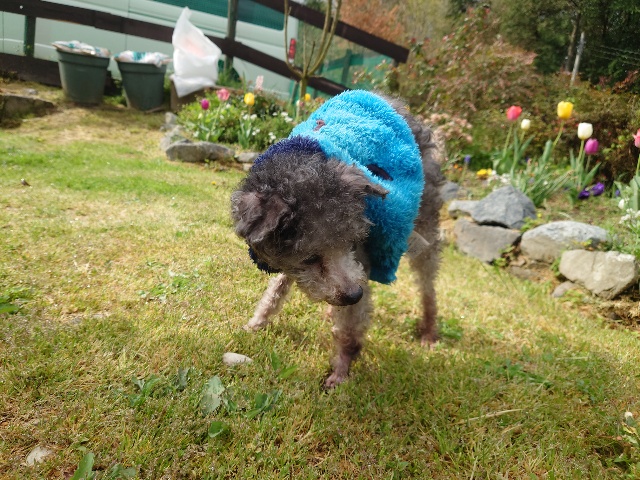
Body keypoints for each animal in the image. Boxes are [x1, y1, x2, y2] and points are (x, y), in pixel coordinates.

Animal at [231, 90, 444, 387]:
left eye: (353, 243)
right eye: (309, 258)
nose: (354, 294)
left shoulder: (364, 261)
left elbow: (351, 329)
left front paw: (341, 371)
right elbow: (276, 290)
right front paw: (255, 324)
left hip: (425, 224)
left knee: (428, 285)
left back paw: (428, 331)